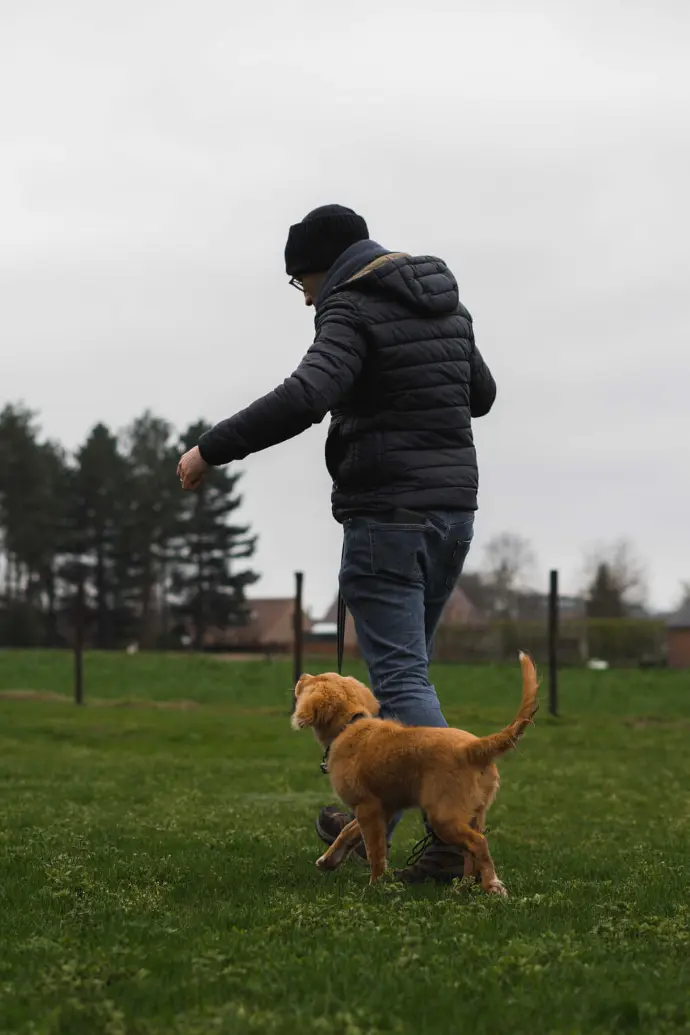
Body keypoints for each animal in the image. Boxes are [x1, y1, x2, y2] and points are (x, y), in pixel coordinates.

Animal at [291, 649, 537, 894]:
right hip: (475, 812)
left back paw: (492, 886)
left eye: (314, 680)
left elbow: (375, 852)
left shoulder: (368, 808)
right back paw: (463, 887)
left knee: (478, 843)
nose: (301, 675)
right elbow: (348, 832)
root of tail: (473, 748)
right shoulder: (383, 808)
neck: (350, 725)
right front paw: (328, 860)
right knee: (470, 851)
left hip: (443, 816)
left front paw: (375, 887)